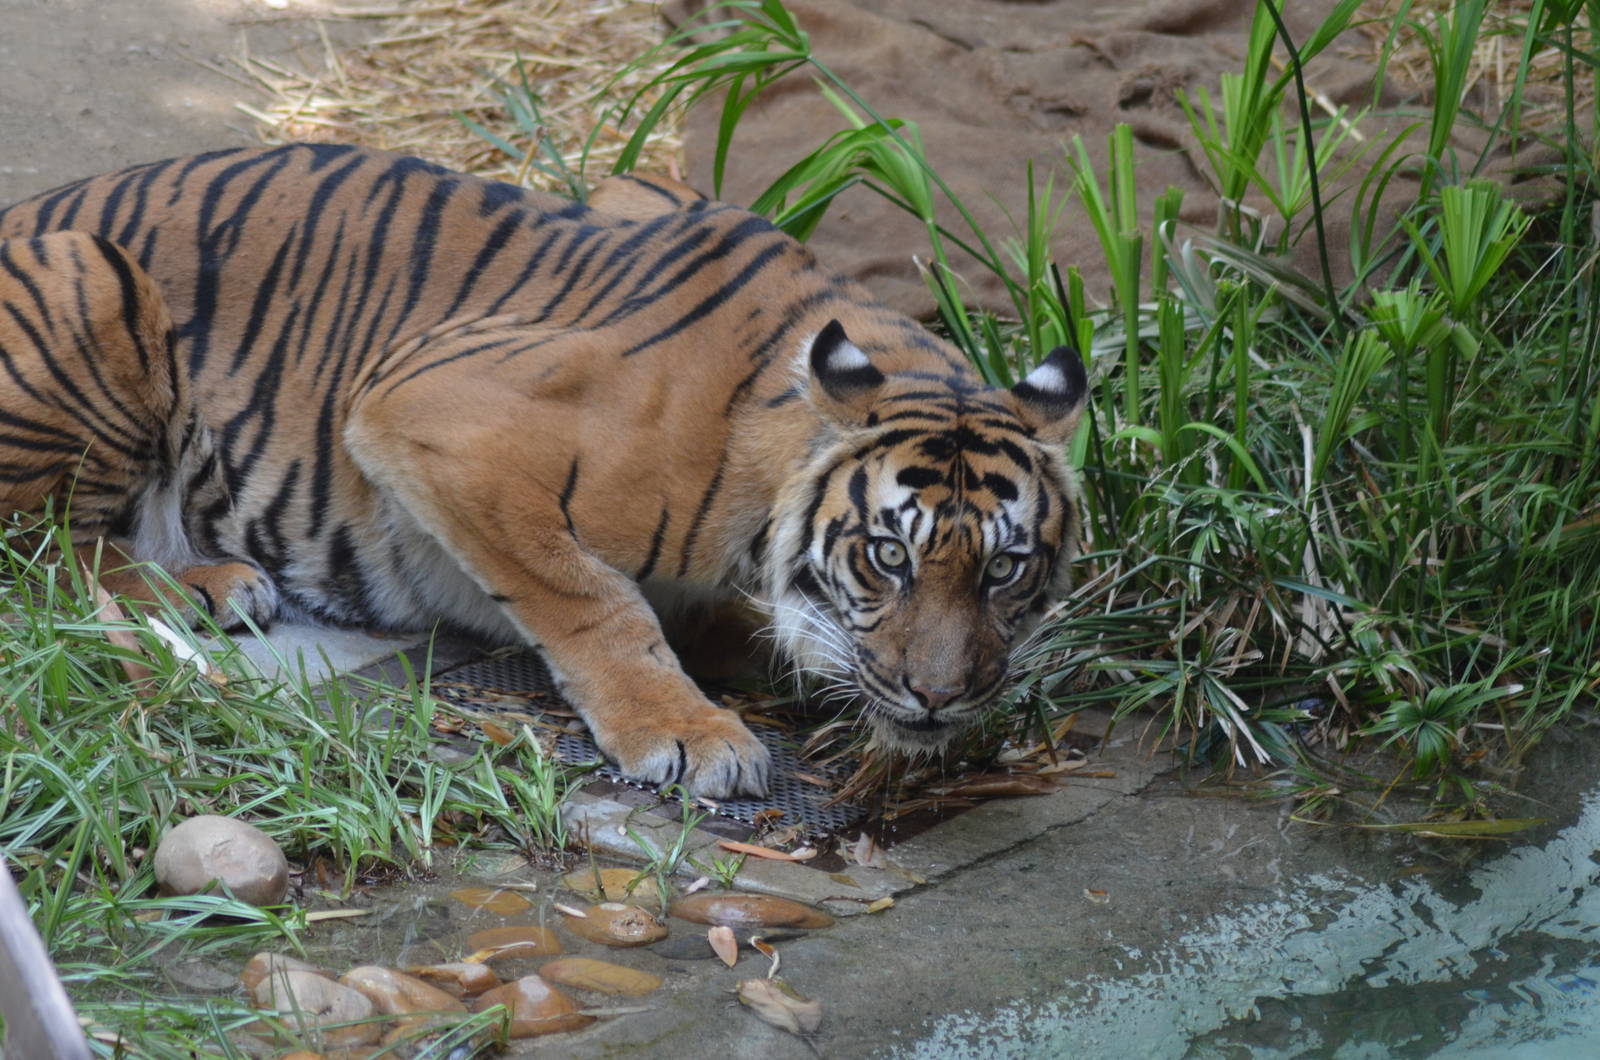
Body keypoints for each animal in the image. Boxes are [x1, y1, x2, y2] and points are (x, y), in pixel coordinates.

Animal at [0, 145, 1087, 798]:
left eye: (1004, 569)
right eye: (888, 558)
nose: (944, 697)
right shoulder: (429, 411)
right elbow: (589, 599)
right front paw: (686, 730)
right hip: (90, 271)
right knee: (42, 555)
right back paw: (197, 586)